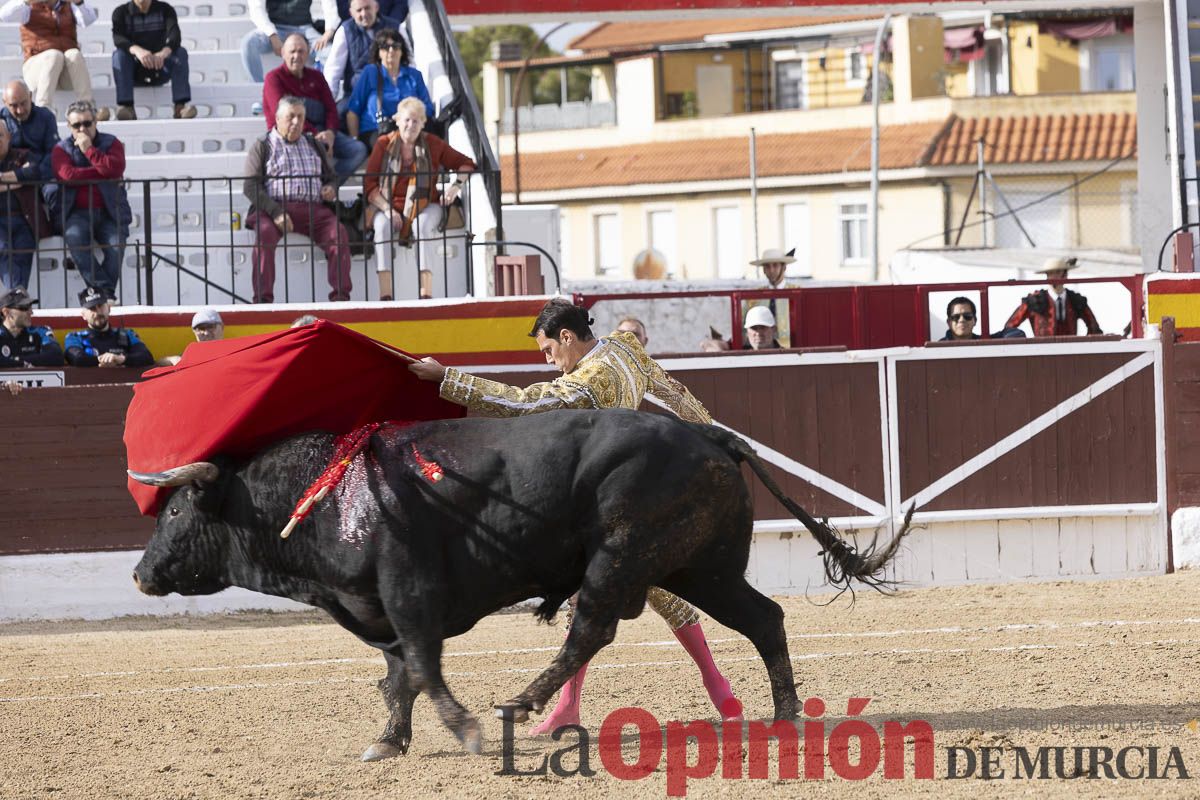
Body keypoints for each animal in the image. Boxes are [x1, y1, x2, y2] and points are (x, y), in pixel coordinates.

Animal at [129, 410, 907, 762]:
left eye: (174, 511)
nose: (138, 573)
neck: (324, 494)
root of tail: (708, 435)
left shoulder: (410, 597)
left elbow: (421, 668)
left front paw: (465, 729)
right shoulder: (382, 609)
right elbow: (399, 675)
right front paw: (389, 741)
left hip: (625, 555)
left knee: (592, 628)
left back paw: (523, 705)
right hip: (704, 566)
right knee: (762, 617)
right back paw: (784, 714)